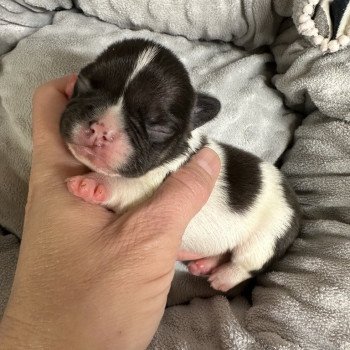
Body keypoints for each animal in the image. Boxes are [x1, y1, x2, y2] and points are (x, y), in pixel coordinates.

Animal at [60, 38, 300, 292]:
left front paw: (92, 184)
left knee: (246, 263)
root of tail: (296, 206)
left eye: (158, 127)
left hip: (267, 236)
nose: (100, 129)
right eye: (84, 84)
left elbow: (124, 185)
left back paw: (223, 278)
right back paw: (205, 264)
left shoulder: (147, 187)